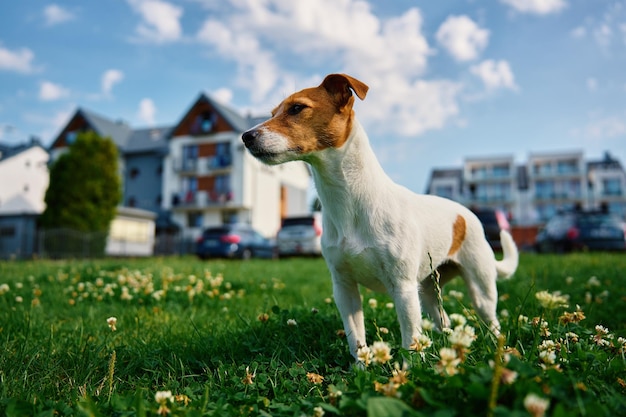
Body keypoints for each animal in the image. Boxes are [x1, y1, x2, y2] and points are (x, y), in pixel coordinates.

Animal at [240, 73, 516, 360]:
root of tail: (465, 213)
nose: (245, 136)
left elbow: (411, 341)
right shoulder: (344, 288)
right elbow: (356, 339)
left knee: (490, 319)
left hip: (480, 285)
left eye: (297, 108)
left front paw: (408, 369)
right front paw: (361, 366)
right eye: (272, 113)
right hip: (429, 289)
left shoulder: (403, 288)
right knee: (444, 320)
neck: (349, 202)